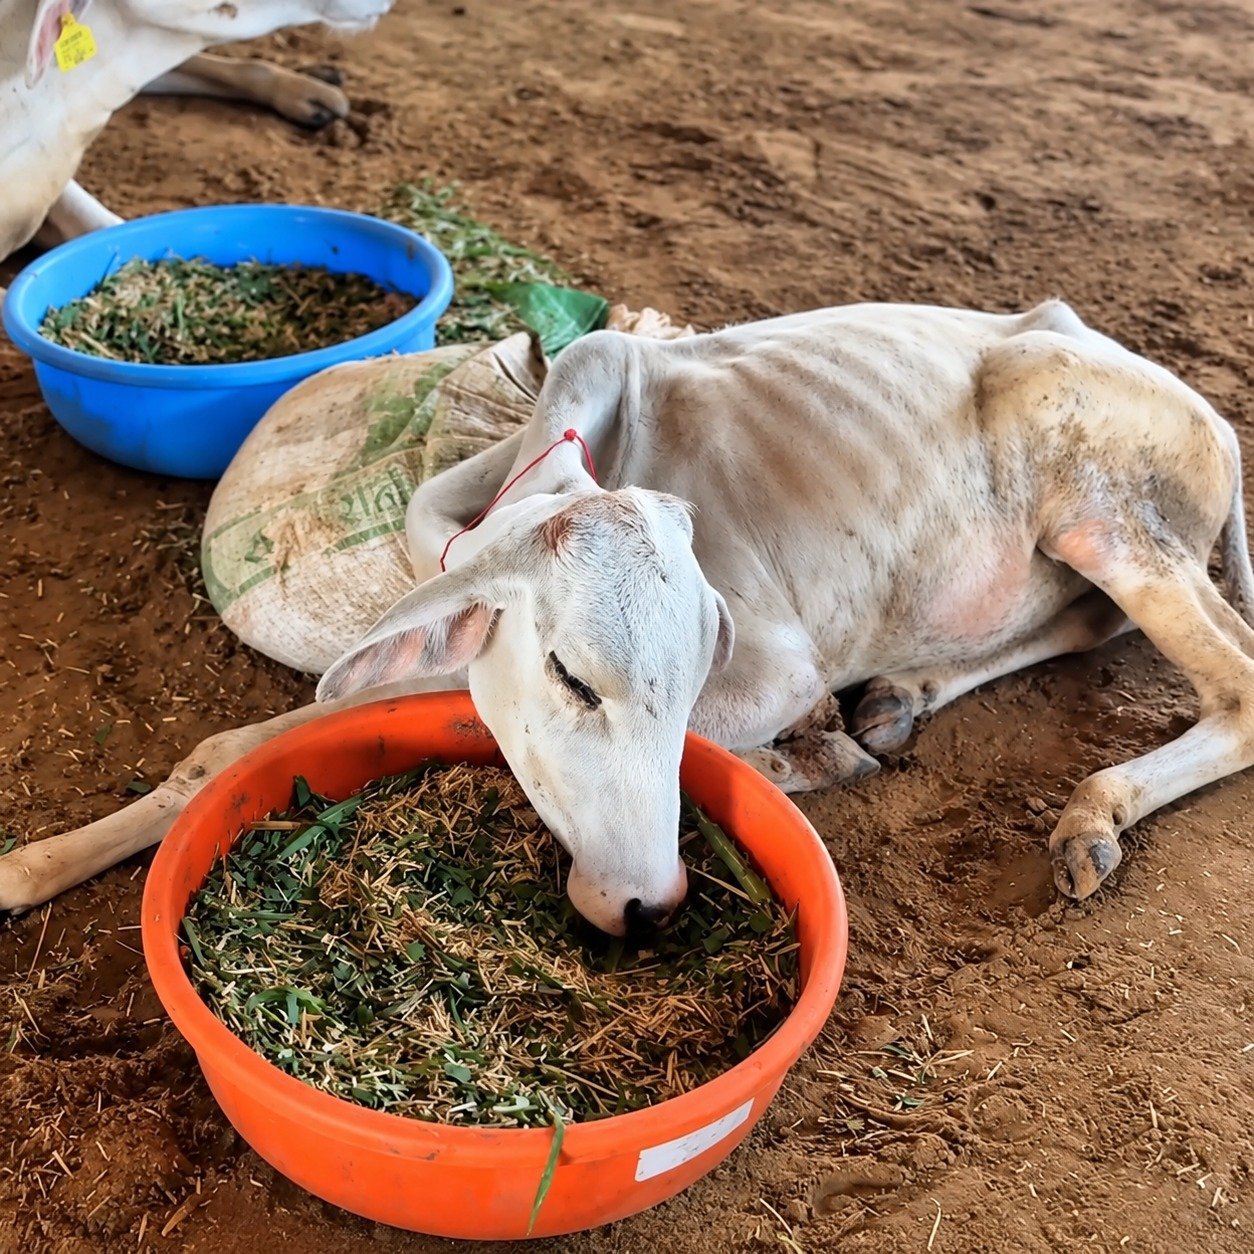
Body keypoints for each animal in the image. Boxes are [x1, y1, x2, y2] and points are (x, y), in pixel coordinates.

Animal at [3, 300, 1252, 934]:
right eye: (568, 675)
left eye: (689, 676)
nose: (651, 905)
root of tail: (1210, 417)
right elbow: (233, 750)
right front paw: (39, 863)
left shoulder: (777, 661)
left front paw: (802, 762)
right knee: (1087, 629)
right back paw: (901, 696)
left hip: (1109, 512)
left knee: (1232, 682)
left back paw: (1089, 816)